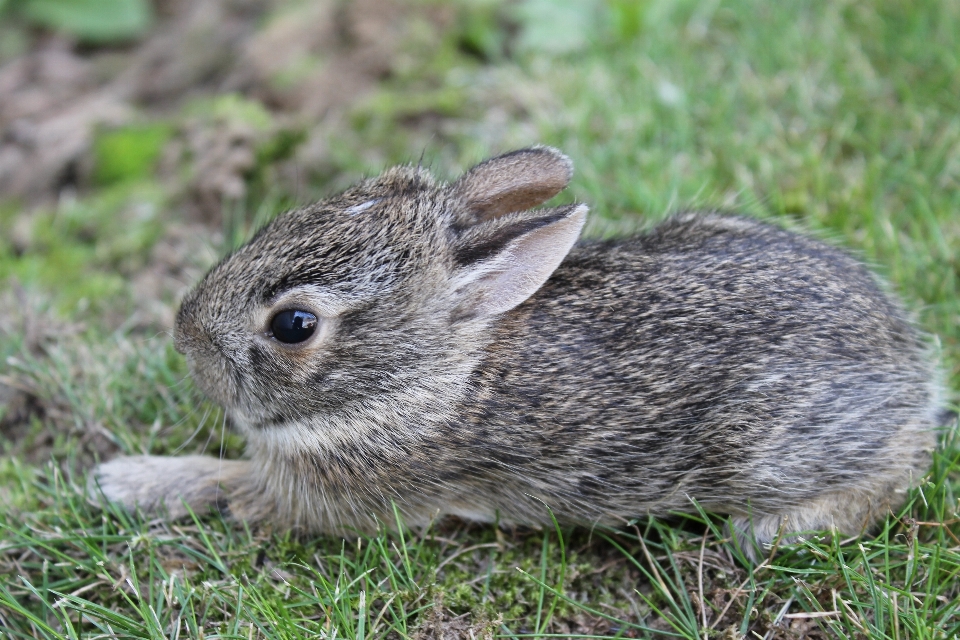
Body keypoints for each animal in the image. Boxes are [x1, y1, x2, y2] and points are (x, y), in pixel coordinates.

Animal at [90, 148, 944, 552]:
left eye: (294, 326)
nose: (184, 336)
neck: (432, 376)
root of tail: (911, 364)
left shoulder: (334, 495)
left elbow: (229, 486)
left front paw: (127, 480)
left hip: (771, 448)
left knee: (896, 469)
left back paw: (767, 535)